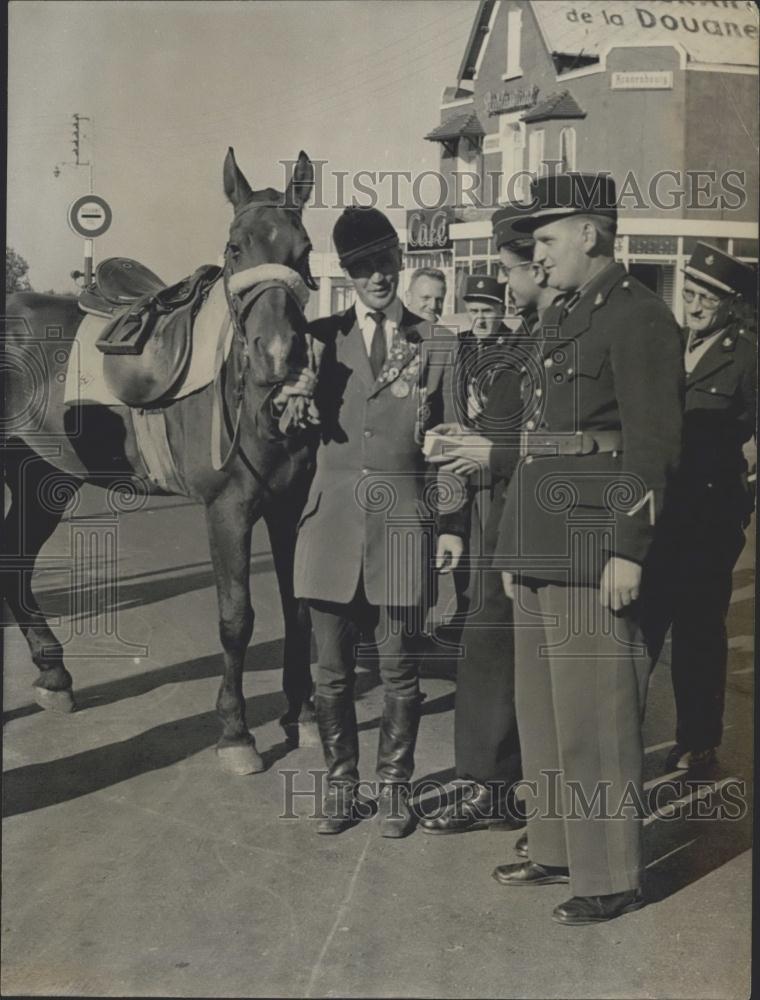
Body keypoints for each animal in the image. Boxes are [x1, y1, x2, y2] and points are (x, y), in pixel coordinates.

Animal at [1, 146, 320, 772]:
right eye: (235, 247)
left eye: (305, 249)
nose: (277, 355)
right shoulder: (229, 509)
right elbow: (237, 618)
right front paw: (236, 732)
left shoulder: (289, 506)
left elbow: (297, 607)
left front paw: (305, 715)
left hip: (42, 476)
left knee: (14, 561)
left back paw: (53, 673)